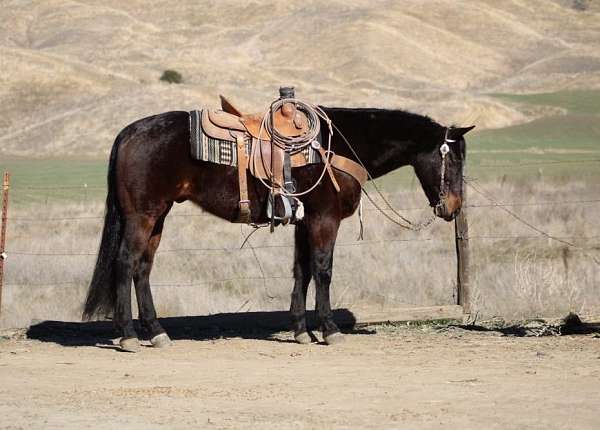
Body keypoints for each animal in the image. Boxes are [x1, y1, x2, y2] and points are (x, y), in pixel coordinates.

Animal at [82, 105, 474, 352]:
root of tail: (130, 132)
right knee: (125, 264)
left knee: (143, 269)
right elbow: (323, 270)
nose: (452, 207)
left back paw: (158, 333)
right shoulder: (325, 220)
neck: (340, 145)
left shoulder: (305, 221)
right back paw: (128, 336)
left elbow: (302, 271)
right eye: (454, 158)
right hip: (142, 217)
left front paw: (301, 331)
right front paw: (329, 330)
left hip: (157, 218)